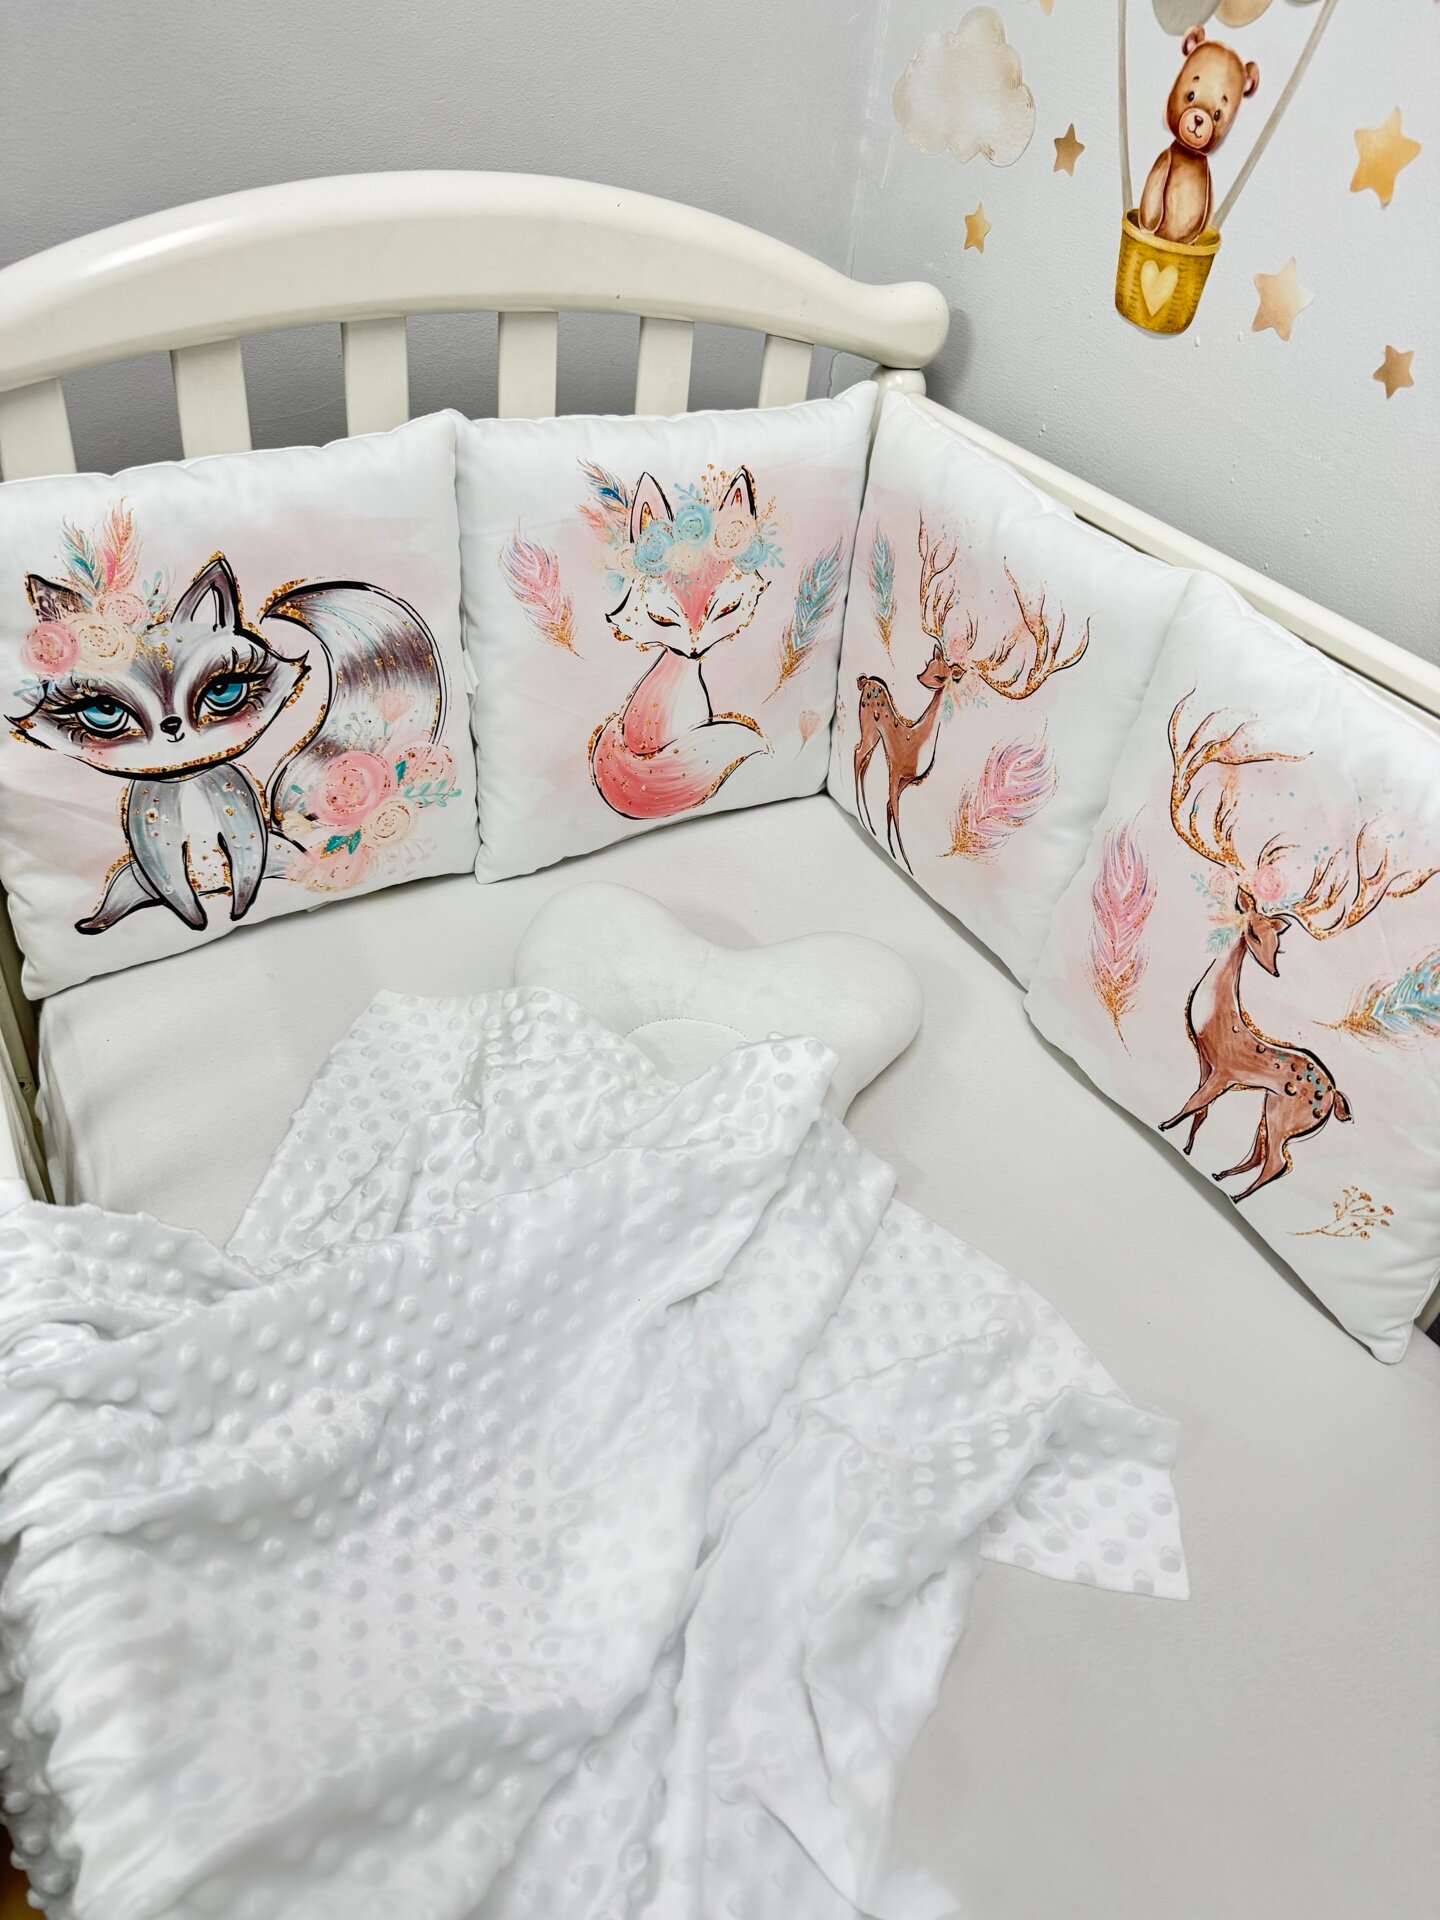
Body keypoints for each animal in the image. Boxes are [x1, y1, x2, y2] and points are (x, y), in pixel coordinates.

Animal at [11, 552, 445, 934]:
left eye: (222, 691)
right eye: (103, 711)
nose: (172, 726)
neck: (186, 782)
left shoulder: (240, 816)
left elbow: (246, 861)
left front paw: (237, 910)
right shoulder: (151, 839)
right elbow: (173, 884)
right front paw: (198, 922)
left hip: (283, 856)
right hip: (129, 879)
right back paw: (98, 922)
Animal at [852, 522, 1090, 873]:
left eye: (941, 674)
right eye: (928, 664)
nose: (920, 678)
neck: (918, 741)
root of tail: (865, 680)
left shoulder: (907, 780)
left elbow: (891, 811)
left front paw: (897, 855)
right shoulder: (897, 772)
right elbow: (894, 811)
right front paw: (904, 859)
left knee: (862, 762)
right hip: (869, 729)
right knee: (857, 755)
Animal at [1158, 695, 1439, 1201]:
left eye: (1279, 945)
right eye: (1255, 934)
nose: (1274, 971)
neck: (1216, 1018)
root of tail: (1337, 1098)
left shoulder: (1226, 1073)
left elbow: (1194, 1103)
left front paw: (1166, 1127)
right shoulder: (1207, 1066)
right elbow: (1200, 1109)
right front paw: (1185, 1144)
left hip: (1284, 1113)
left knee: (1279, 1162)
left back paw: (1233, 1192)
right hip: (1271, 1111)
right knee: (1265, 1154)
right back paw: (1221, 1175)